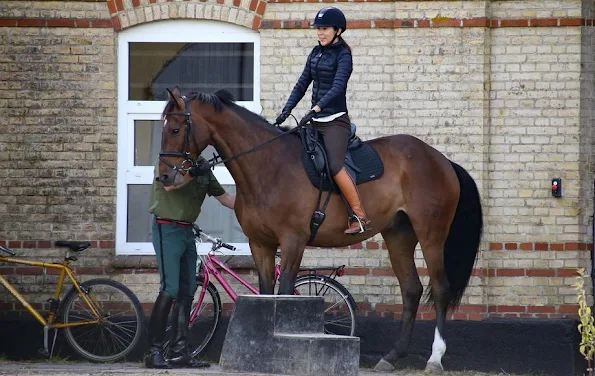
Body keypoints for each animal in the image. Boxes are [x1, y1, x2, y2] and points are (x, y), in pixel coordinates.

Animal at [158, 86, 484, 372]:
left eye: (174, 129)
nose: (164, 177)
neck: (267, 166)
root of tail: (441, 159)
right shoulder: (260, 244)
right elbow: (266, 291)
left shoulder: (293, 241)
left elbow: (286, 292)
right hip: (398, 235)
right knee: (411, 290)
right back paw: (391, 357)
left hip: (431, 234)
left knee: (439, 288)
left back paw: (435, 358)